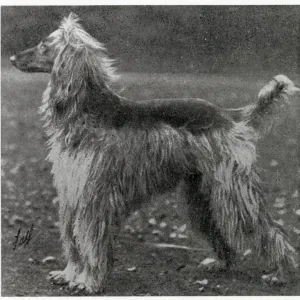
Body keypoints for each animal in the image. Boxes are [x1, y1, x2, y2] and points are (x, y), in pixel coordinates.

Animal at [10, 12, 298, 294]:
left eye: (44, 45)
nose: (12, 58)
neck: (86, 112)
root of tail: (229, 116)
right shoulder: (72, 193)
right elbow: (71, 240)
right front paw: (69, 274)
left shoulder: (93, 197)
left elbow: (89, 242)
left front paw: (88, 281)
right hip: (200, 194)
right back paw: (220, 262)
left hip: (235, 191)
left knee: (272, 231)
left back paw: (281, 273)